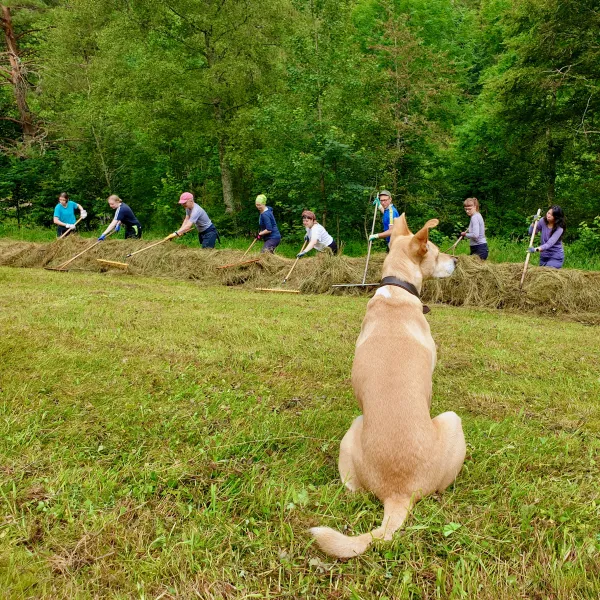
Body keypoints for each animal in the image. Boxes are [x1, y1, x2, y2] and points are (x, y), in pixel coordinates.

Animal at [312, 214, 466, 556]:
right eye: (437, 252)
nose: (456, 260)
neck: (397, 289)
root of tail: (399, 493)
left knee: (352, 491)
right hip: (452, 421)